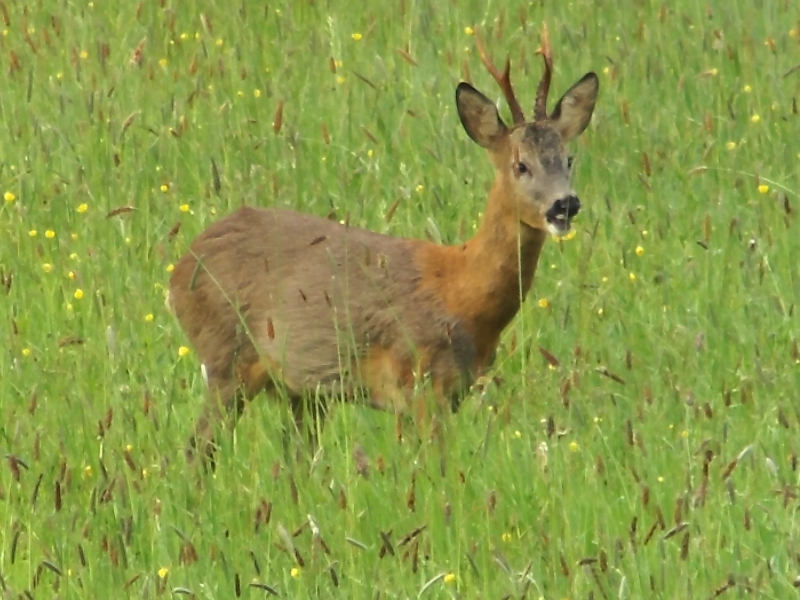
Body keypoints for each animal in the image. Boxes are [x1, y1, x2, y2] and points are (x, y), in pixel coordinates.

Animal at [170, 23, 592, 464]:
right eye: (520, 165)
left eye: (568, 159)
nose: (565, 205)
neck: (462, 293)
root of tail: (180, 269)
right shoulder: (419, 383)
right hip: (227, 359)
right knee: (196, 450)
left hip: (302, 392)